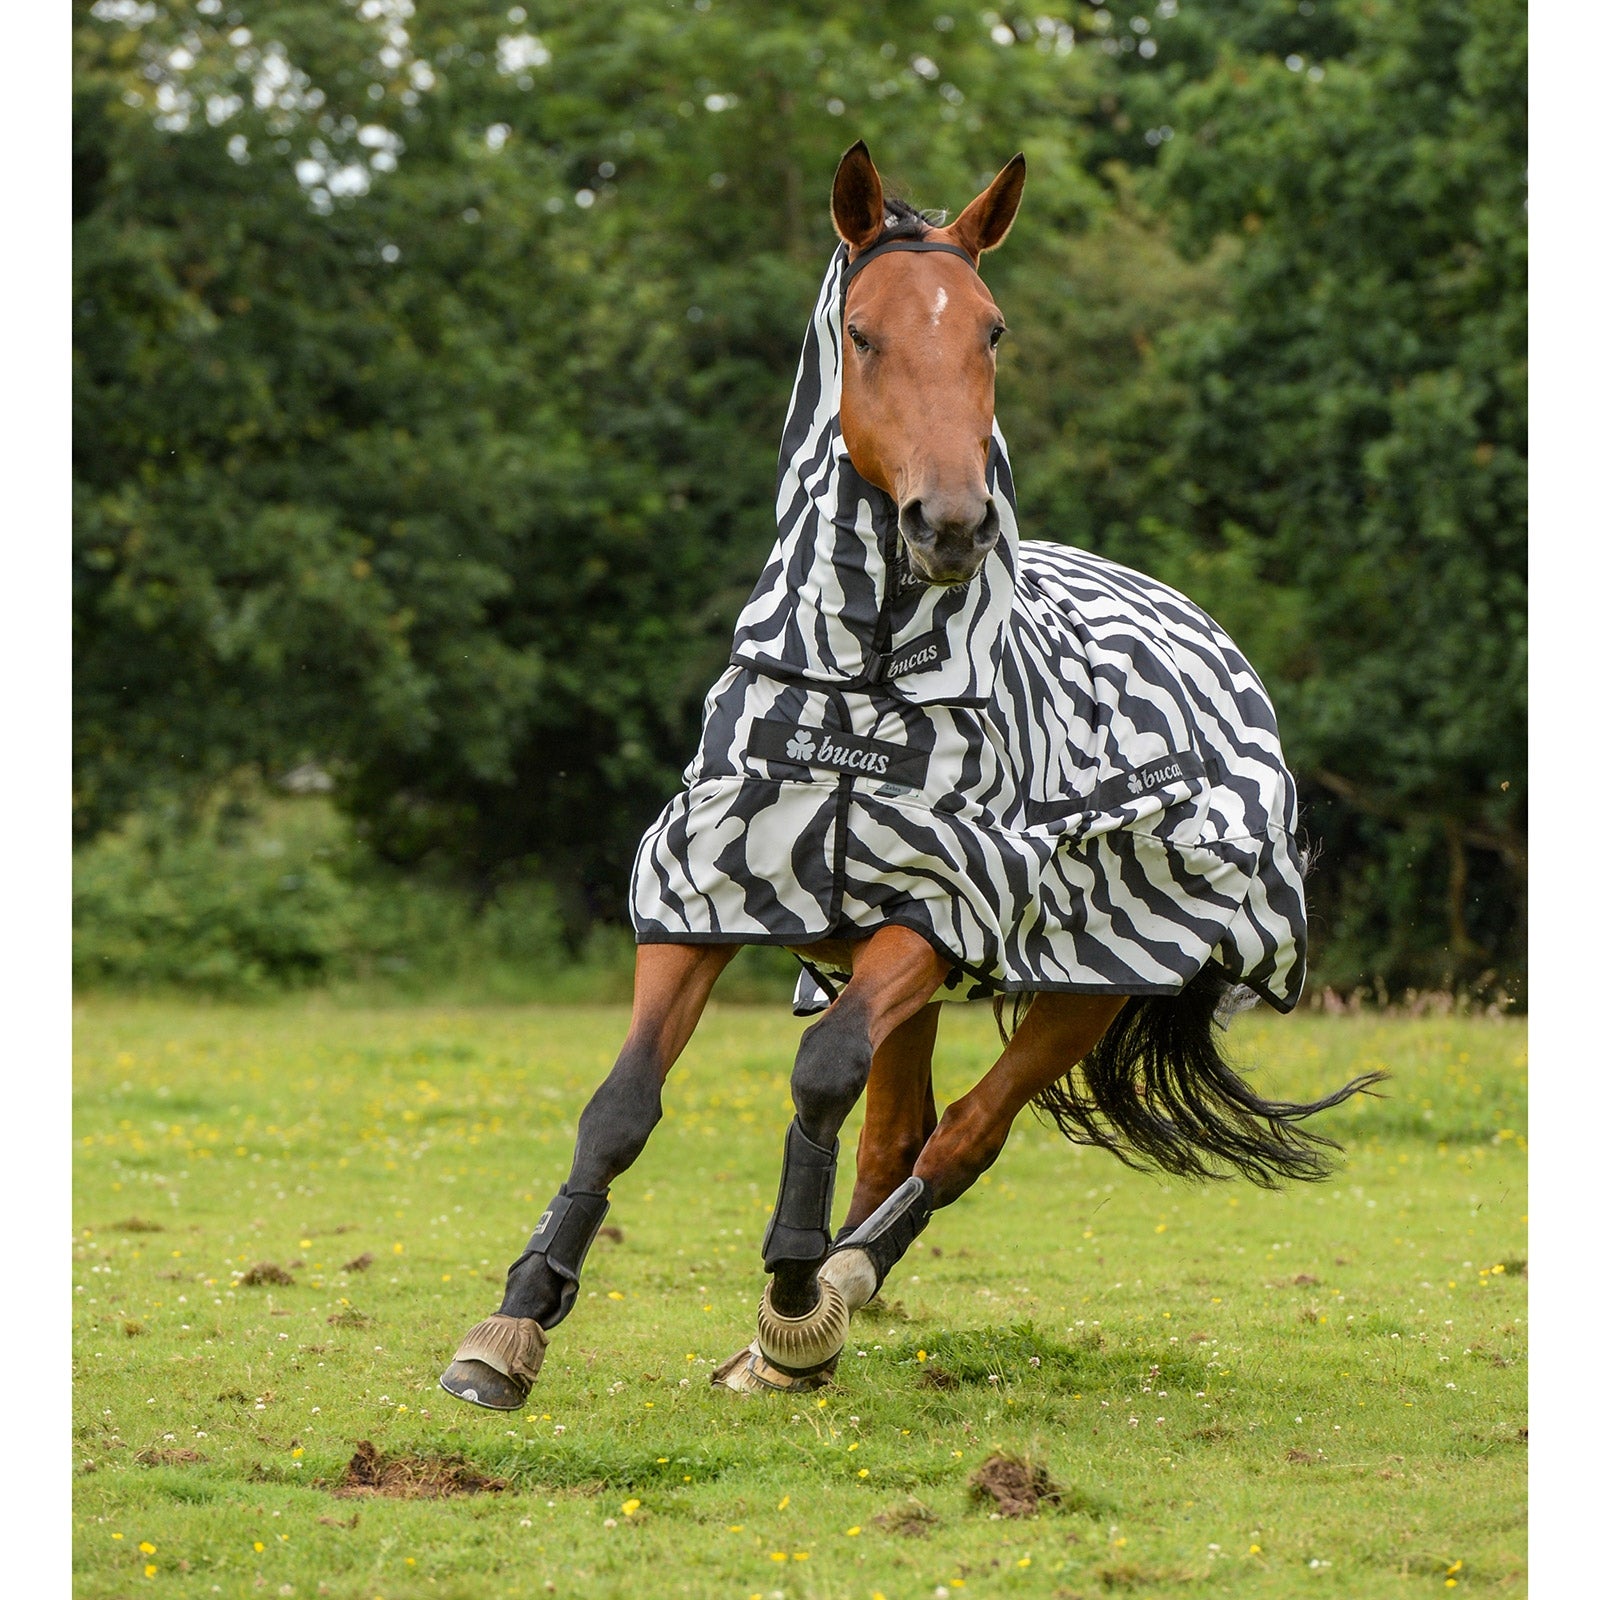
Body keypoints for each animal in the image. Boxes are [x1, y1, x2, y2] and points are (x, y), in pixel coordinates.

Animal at [438, 141, 1378, 1409]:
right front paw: (513, 1322)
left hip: (1084, 980)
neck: (865, 679)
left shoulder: (941, 905)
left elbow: (819, 1074)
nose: (951, 524)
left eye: (991, 330)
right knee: (898, 1132)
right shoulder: (702, 894)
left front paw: (793, 1293)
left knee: (960, 1136)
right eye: (865, 331)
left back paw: (827, 1297)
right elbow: (621, 1107)